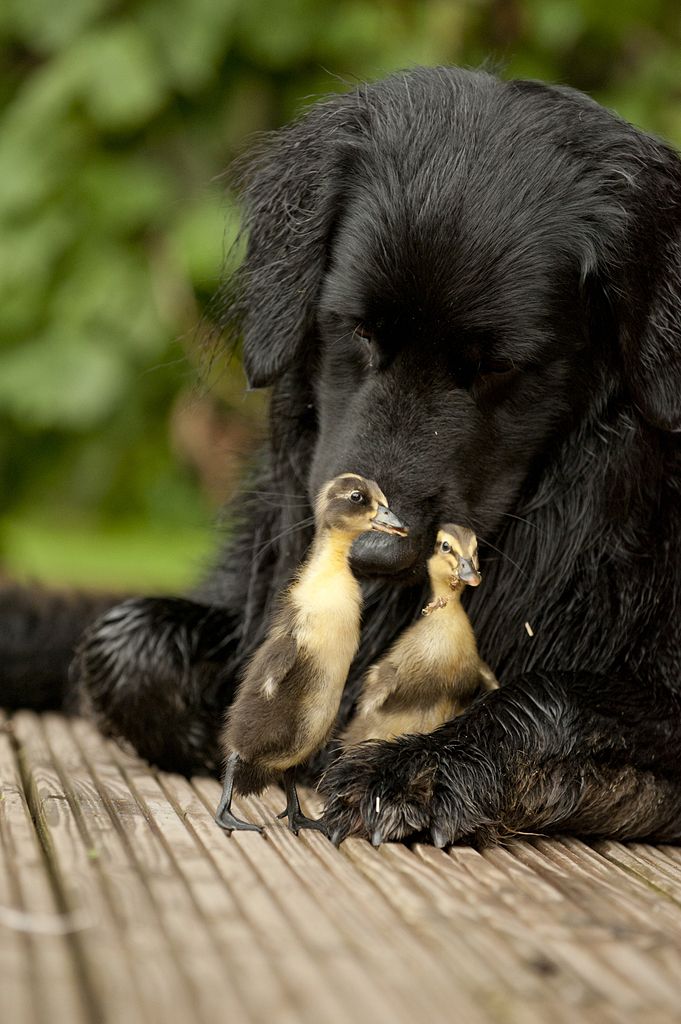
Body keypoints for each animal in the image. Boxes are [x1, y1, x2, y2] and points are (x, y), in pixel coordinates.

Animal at [5, 68, 679, 843]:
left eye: (496, 366)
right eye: (357, 330)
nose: (373, 557)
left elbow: (554, 697)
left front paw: (419, 768)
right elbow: (123, 644)